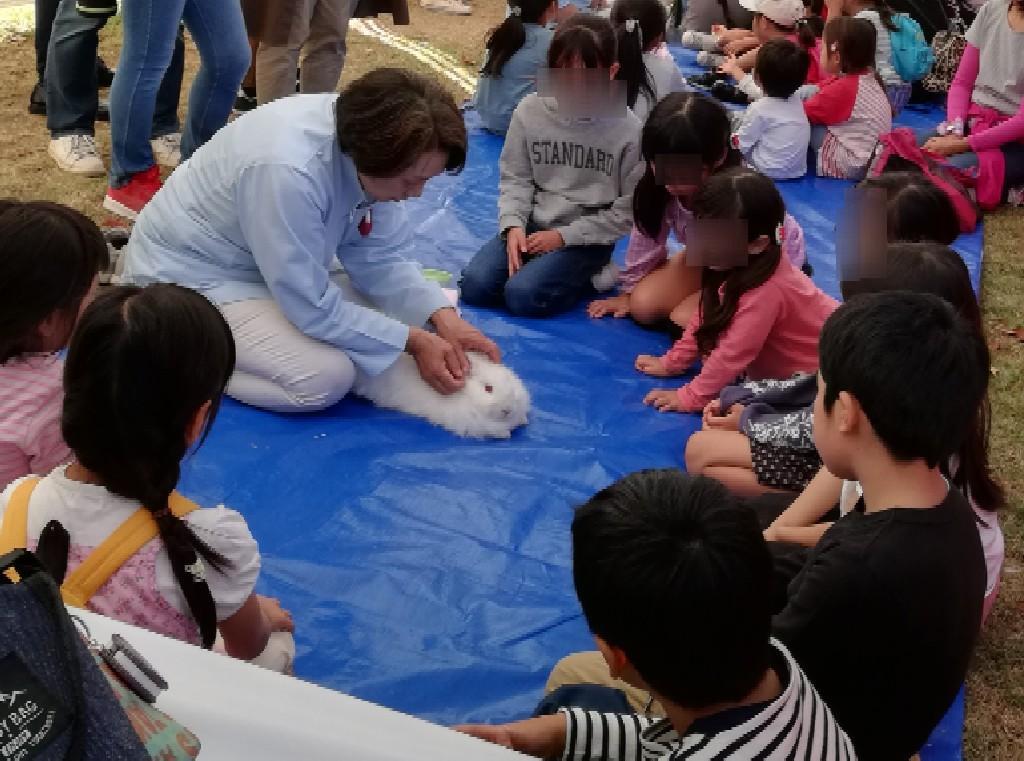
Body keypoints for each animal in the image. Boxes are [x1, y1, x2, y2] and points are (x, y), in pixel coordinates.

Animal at [350, 352, 528, 440]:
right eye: (488, 388)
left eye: (511, 386)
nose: (507, 409)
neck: (467, 396)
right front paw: (506, 435)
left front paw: (522, 421)